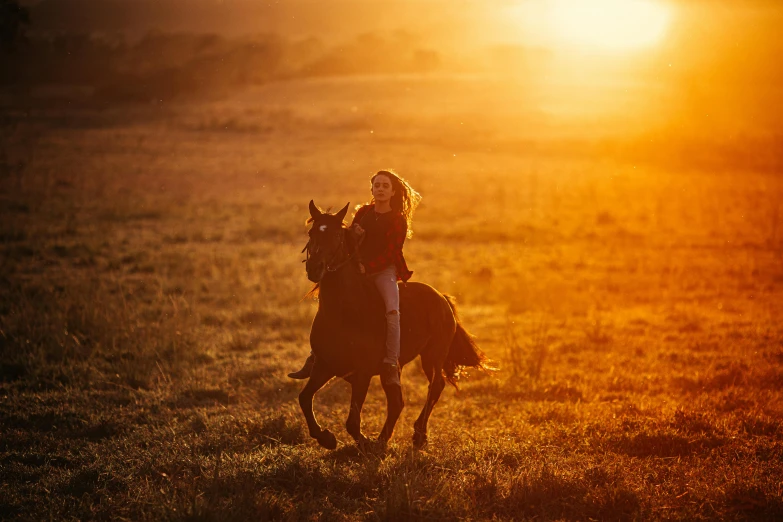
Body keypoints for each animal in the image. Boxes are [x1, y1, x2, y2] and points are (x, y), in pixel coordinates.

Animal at [300, 200, 490, 446]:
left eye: (336, 235)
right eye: (311, 232)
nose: (314, 268)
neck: (343, 314)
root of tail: (441, 297)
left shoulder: (362, 373)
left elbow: (352, 422)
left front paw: (364, 443)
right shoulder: (324, 366)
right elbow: (304, 398)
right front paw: (326, 438)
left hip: (433, 355)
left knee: (434, 387)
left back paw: (418, 435)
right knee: (398, 401)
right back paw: (386, 438)